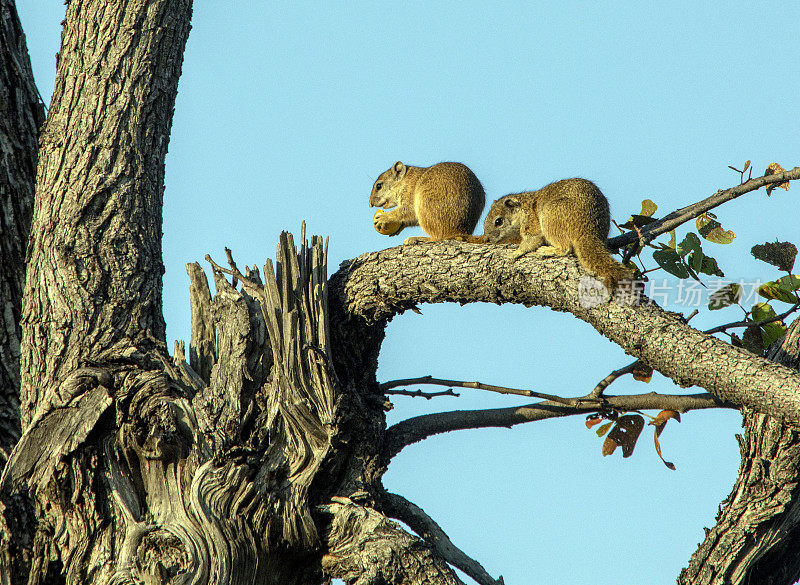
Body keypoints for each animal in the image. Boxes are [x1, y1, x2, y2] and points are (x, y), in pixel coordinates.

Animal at [482, 177, 632, 288]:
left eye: (498, 221)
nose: (489, 239)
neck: (524, 207)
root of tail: (588, 229)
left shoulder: (531, 225)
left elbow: (532, 241)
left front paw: (515, 253)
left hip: (551, 216)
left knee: (565, 248)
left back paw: (547, 250)